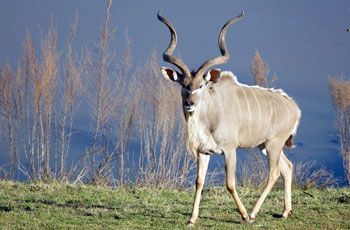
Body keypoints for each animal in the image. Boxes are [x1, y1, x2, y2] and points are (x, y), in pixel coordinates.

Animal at [158, 9, 300, 226]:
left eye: (201, 85)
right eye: (184, 85)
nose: (189, 103)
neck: (210, 117)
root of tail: (294, 108)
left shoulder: (230, 150)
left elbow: (230, 183)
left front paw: (244, 215)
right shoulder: (203, 151)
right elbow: (199, 181)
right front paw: (192, 219)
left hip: (274, 144)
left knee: (274, 173)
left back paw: (253, 214)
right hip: (265, 145)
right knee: (287, 167)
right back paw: (285, 212)